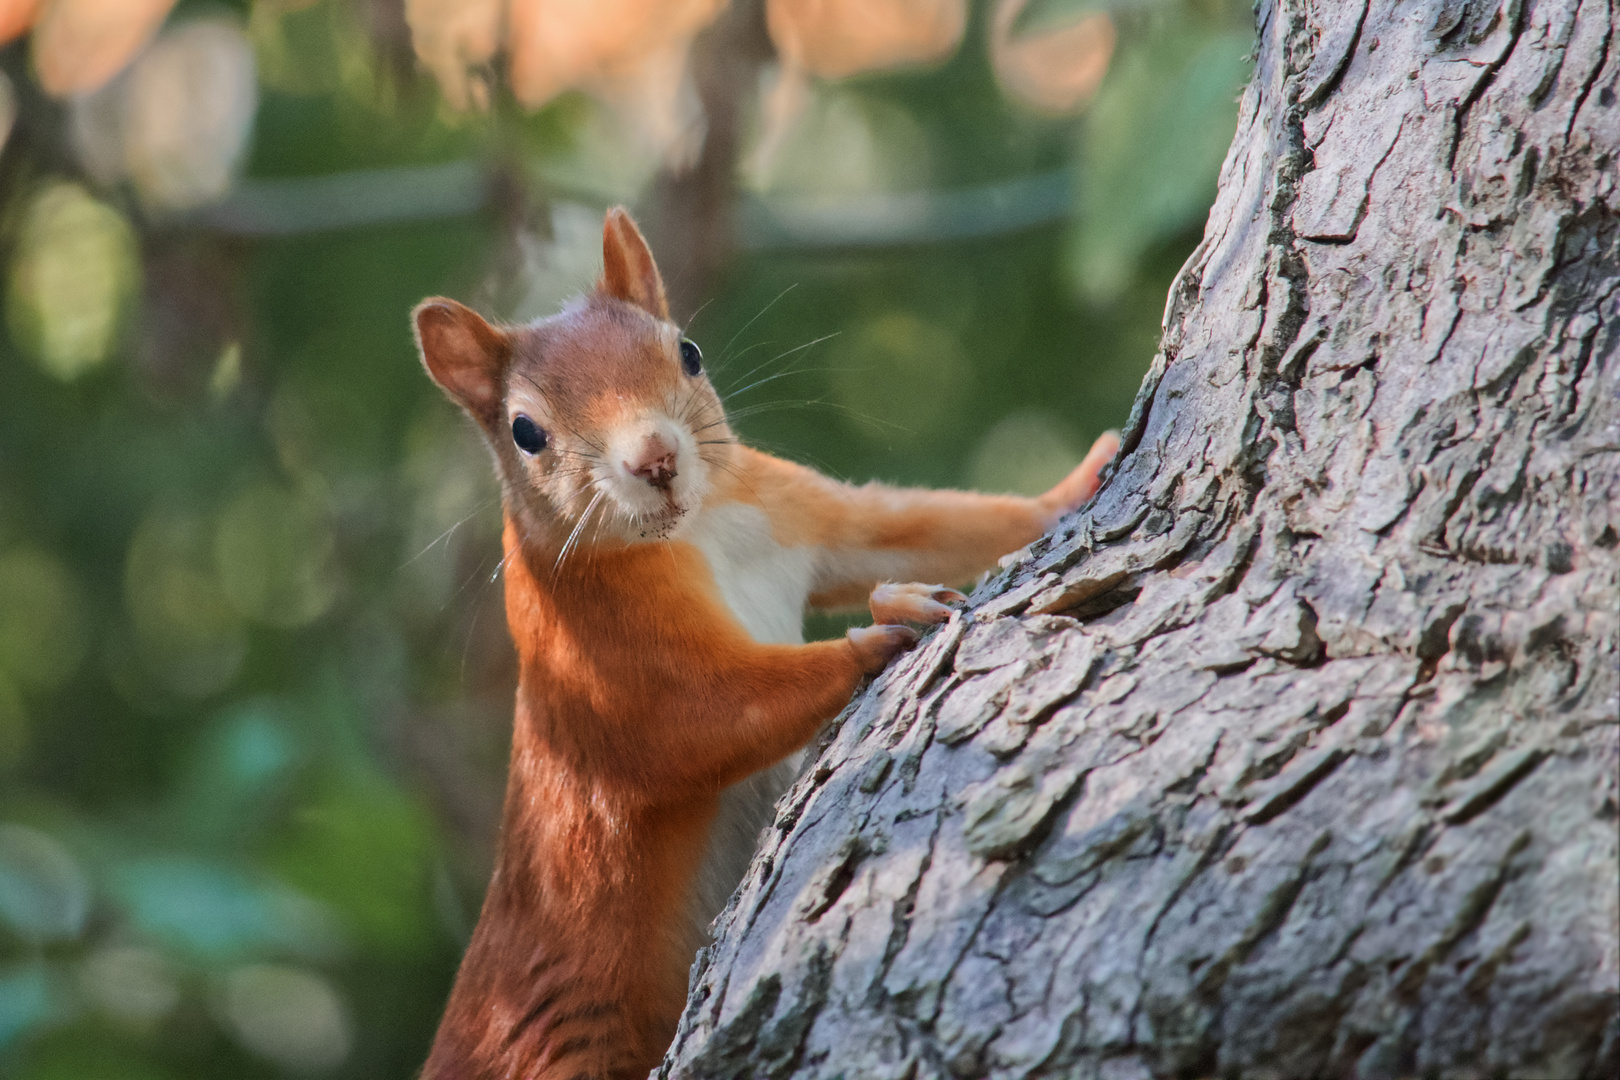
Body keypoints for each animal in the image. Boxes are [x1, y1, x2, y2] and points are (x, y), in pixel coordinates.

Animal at [414, 207, 1114, 1075]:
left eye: (687, 351)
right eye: (524, 431)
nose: (655, 459)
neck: (700, 532)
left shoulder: (792, 507)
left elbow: (923, 526)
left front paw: (1080, 480)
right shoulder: (598, 657)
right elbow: (702, 719)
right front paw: (885, 625)